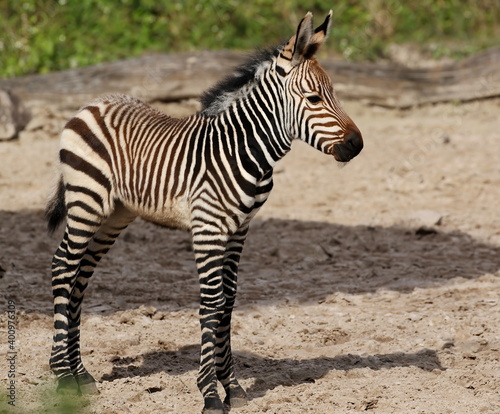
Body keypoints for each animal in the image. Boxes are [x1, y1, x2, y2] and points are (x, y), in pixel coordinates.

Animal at [45, 10, 362, 414]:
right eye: (313, 97)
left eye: (332, 94)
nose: (357, 145)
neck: (244, 151)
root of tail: (92, 104)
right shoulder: (208, 228)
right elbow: (212, 303)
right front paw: (210, 393)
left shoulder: (240, 229)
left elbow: (229, 300)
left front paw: (234, 387)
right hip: (87, 200)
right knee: (62, 267)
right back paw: (62, 375)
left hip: (115, 214)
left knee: (80, 277)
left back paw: (82, 374)